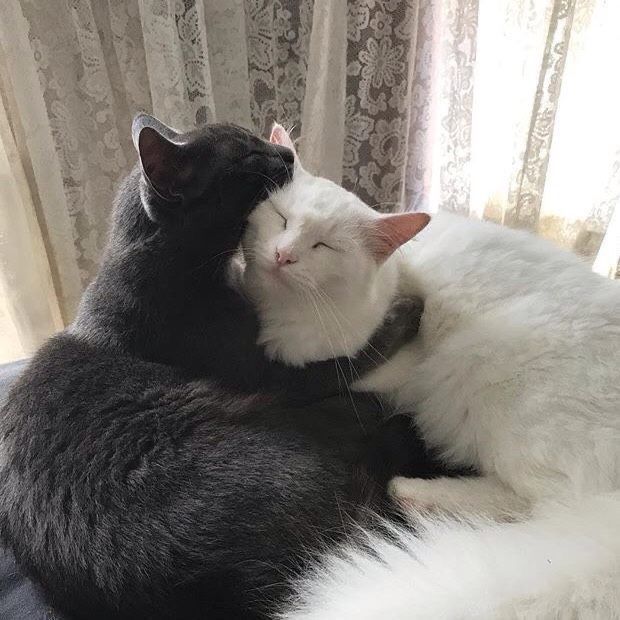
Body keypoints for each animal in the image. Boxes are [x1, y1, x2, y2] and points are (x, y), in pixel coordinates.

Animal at [241, 124, 620, 616]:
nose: (284, 255)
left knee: (544, 508)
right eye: (282, 218)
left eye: (325, 246)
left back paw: (416, 493)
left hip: (489, 375)